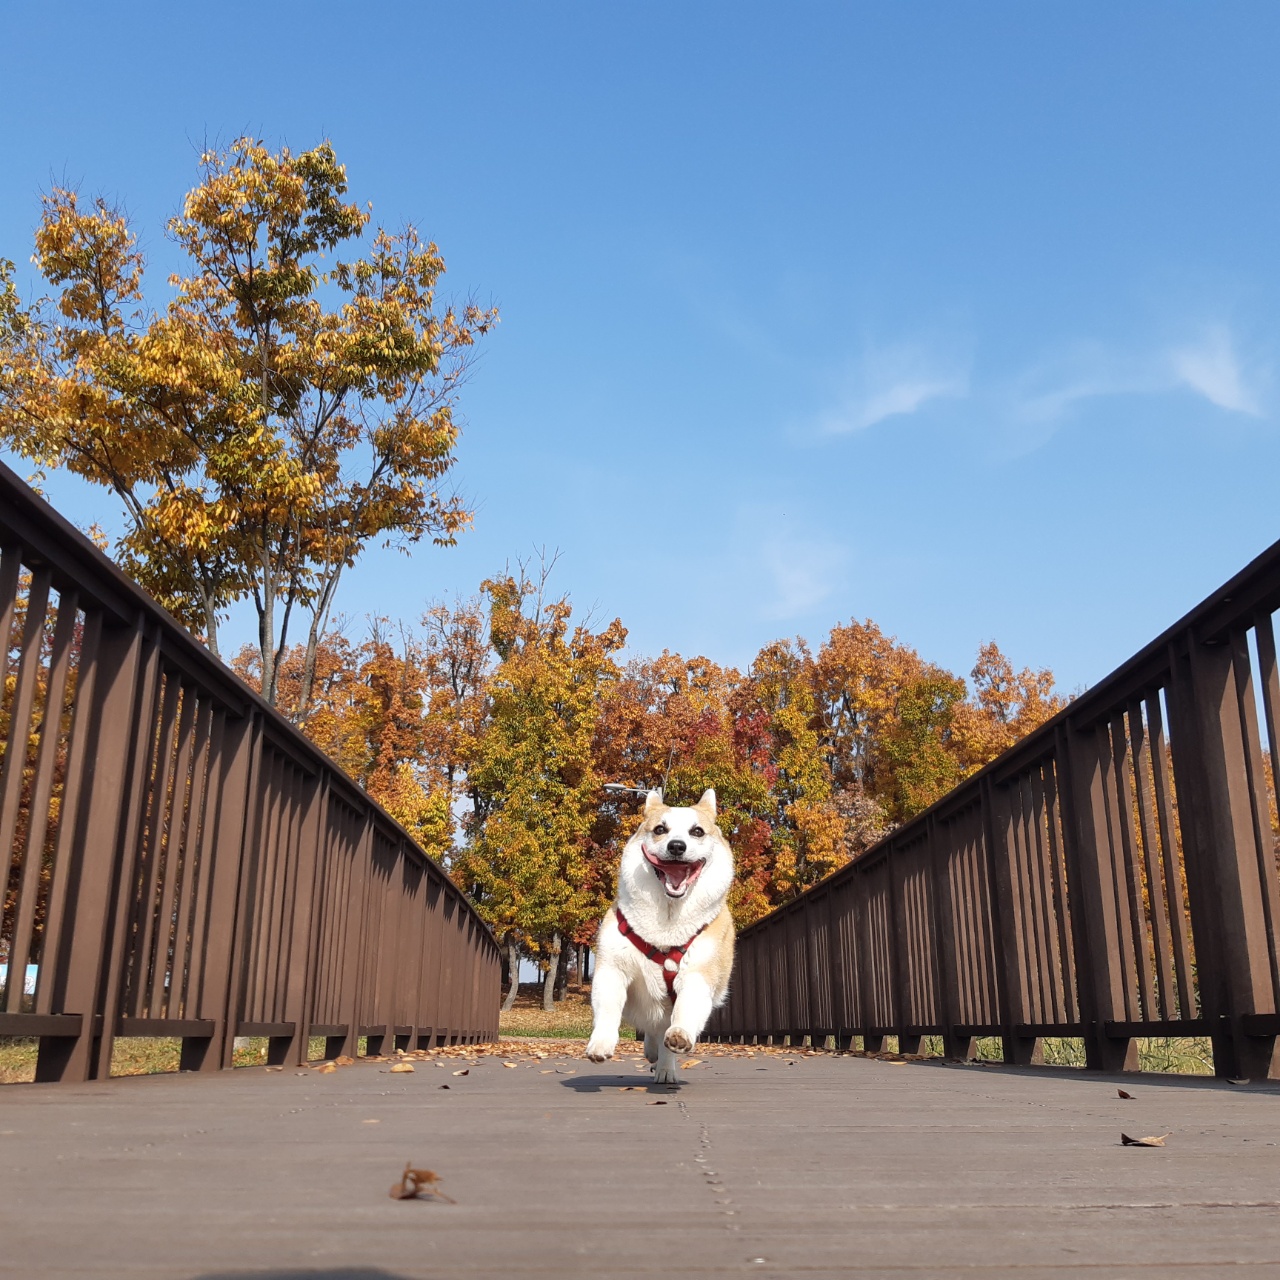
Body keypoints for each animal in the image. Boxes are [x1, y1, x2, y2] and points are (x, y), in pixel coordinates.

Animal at [586, 788, 737, 1080]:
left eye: (697, 831)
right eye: (660, 829)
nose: (677, 846)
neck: (667, 920)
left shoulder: (698, 973)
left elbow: (686, 1007)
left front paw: (680, 1036)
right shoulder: (612, 968)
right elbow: (608, 1007)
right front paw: (601, 1043)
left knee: (664, 1034)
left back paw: (665, 1067)